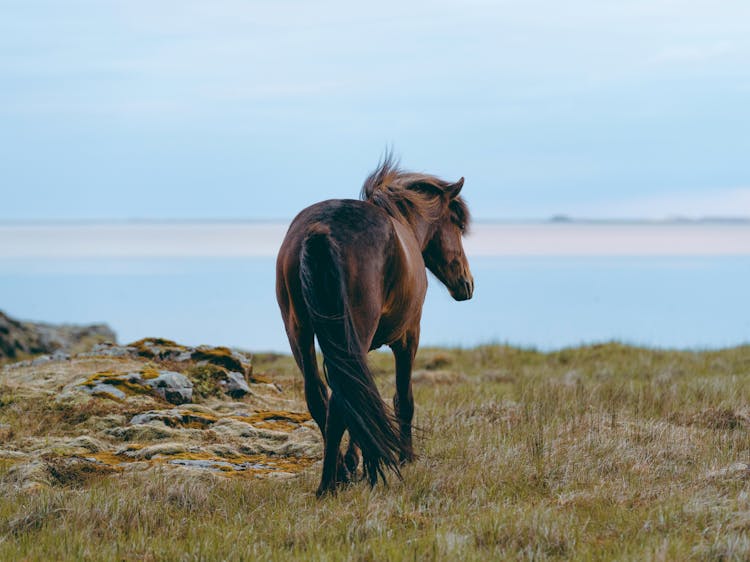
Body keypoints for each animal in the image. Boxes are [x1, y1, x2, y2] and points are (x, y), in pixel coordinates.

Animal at [276, 154, 476, 494]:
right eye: (457, 224)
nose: (467, 283)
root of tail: (320, 229)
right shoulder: (408, 336)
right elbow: (403, 399)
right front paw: (406, 457)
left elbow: (362, 396)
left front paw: (354, 460)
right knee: (341, 401)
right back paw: (330, 483)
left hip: (299, 332)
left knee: (322, 396)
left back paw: (337, 474)